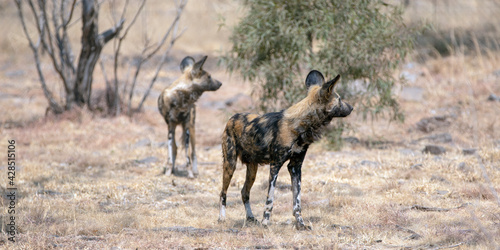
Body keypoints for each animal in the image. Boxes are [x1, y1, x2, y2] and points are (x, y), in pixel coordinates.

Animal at [218, 69, 352, 229]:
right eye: (339, 99)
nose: (351, 107)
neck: (300, 126)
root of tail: (232, 117)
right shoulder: (275, 165)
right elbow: (270, 199)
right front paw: (265, 223)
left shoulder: (295, 166)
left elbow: (297, 202)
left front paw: (301, 225)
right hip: (230, 165)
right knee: (223, 193)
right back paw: (222, 218)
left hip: (252, 170)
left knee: (245, 192)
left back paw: (250, 218)